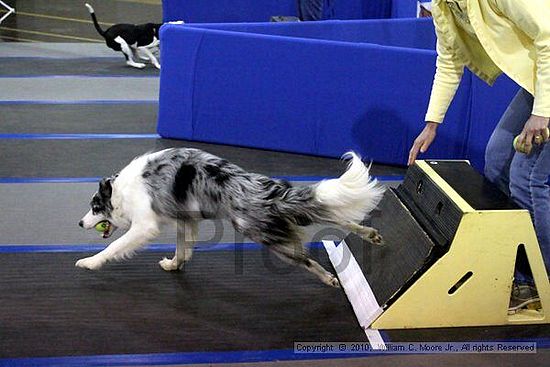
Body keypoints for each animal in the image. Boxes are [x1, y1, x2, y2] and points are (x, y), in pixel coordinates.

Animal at [78, 148, 388, 288]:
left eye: (95, 207)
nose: (79, 223)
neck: (121, 189)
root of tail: (269, 190)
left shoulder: (145, 225)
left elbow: (114, 246)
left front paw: (90, 262)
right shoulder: (187, 220)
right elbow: (183, 249)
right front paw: (174, 265)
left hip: (261, 232)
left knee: (306, 258)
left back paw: (330, 279)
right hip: (286, 218)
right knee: (329, 214)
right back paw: (369, 234)